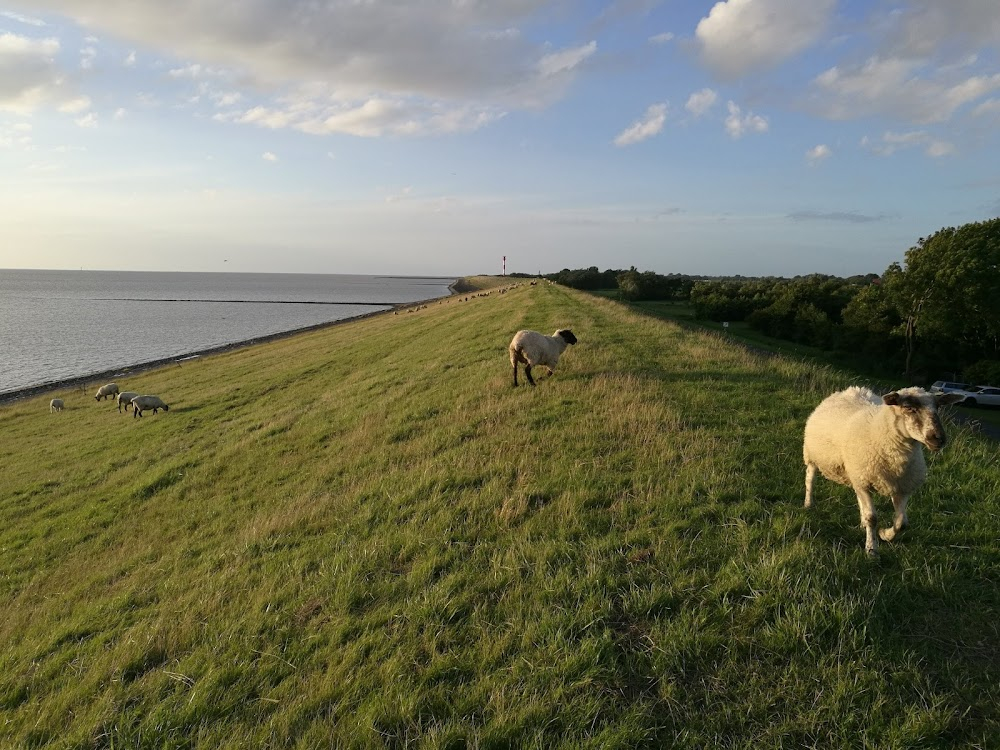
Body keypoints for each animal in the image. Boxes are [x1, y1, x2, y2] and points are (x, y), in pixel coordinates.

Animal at [804, 388, 960, 560]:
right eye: (909, 408)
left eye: (938, 407)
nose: (938, 439)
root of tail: (849, 390)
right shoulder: (865, 482)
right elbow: (872, 518)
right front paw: (872, 550)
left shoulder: (901, 487)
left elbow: (902, 523)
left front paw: (885, 534)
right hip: (812, 455)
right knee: (810, 479)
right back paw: (808, 503)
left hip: (858, 475)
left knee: (859, 497)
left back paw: (862, 522)